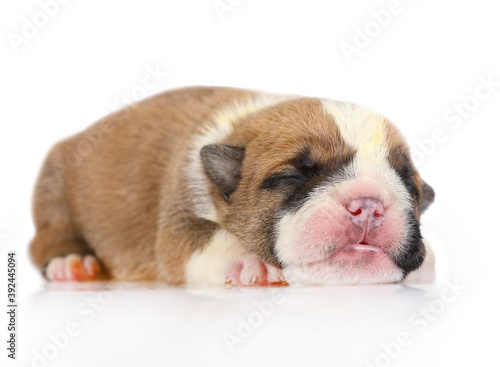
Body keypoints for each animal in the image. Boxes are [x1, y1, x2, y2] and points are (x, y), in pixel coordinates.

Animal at [29, 87, 434, 288]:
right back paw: (72, 262)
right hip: (54, 192)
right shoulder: (181, 217)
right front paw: (248, 260)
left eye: (406, 183)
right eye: (292, 177)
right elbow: (210, 239)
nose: (368, 205)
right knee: (49, 238)